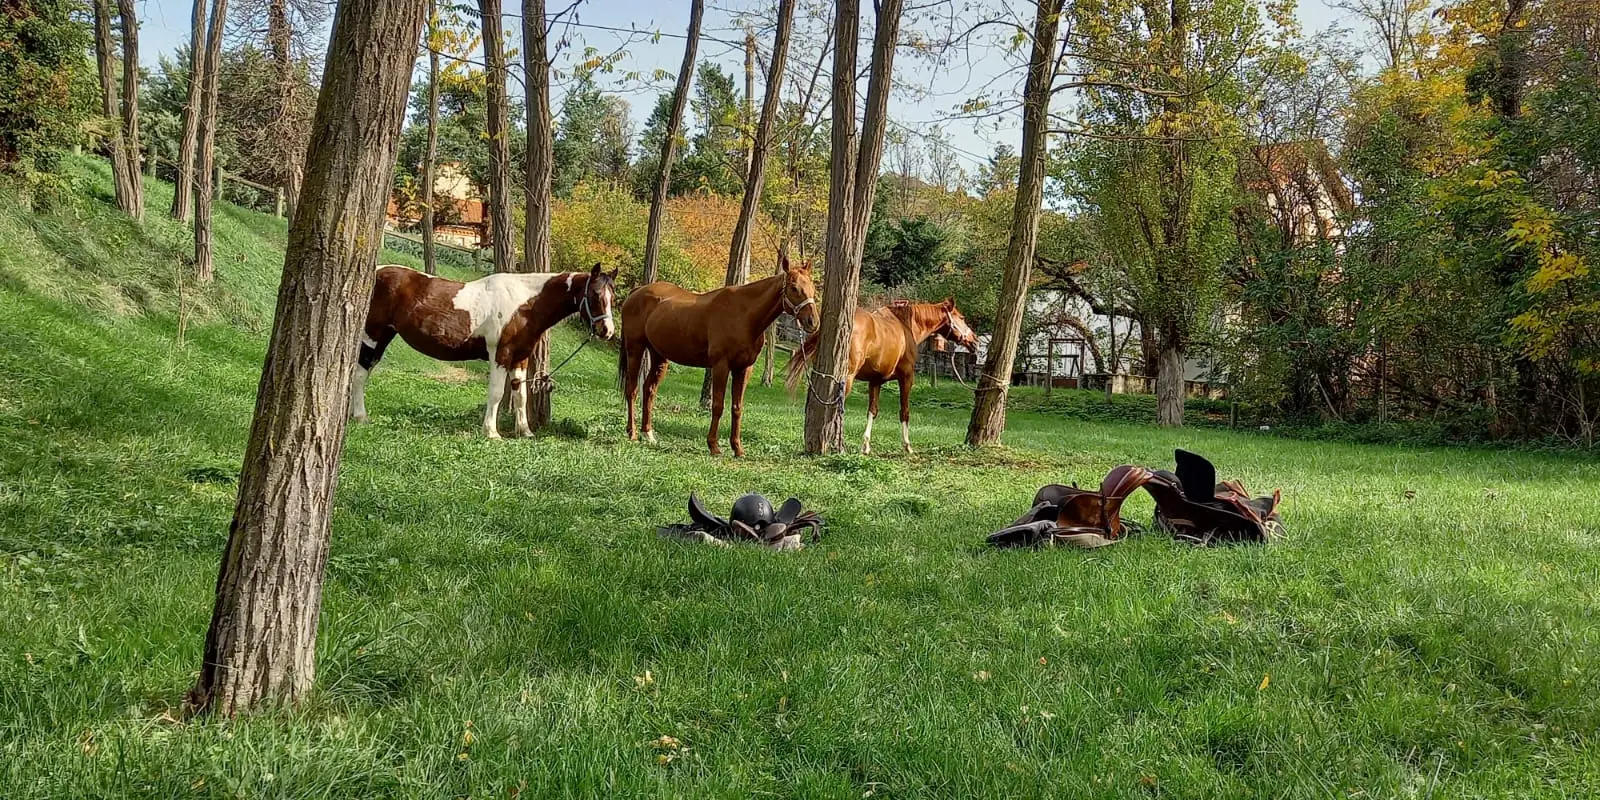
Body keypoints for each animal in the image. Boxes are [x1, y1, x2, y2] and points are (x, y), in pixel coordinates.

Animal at [351, 262, 618, 438]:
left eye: (612, 297)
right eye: (595, 294)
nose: (607, 331)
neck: (524, 305)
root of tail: (375, 271)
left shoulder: (520, 358)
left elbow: (520, 396)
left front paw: (525, 431)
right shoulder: (500, 355)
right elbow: (496, 393)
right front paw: (491, 432)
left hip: (383, 337)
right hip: (372, 336)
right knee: (360, 375)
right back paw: (360, 417)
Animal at [619, 253, 819, 456]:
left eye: (813, 287)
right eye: (794, 287)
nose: (813, 322)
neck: (744, 315)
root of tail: (637, 291)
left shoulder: (744, 369)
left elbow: (737, 408)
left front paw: (737, 448)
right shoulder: (721, 366)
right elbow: (718, 405)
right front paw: (714, 445)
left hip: (659, 356)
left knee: (649, 390)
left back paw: (648, 434)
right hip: (635, 349)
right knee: (632, 389)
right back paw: (632, 432)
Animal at [786, 298, 978, 454]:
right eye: (962, 318)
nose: (975, 341)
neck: (907, 326)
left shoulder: (875, 381)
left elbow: (872, 411)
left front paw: (866, 446)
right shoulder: (906, 378)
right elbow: (904, 411)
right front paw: (907, 446)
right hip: (847, 379)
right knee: (836, 407)